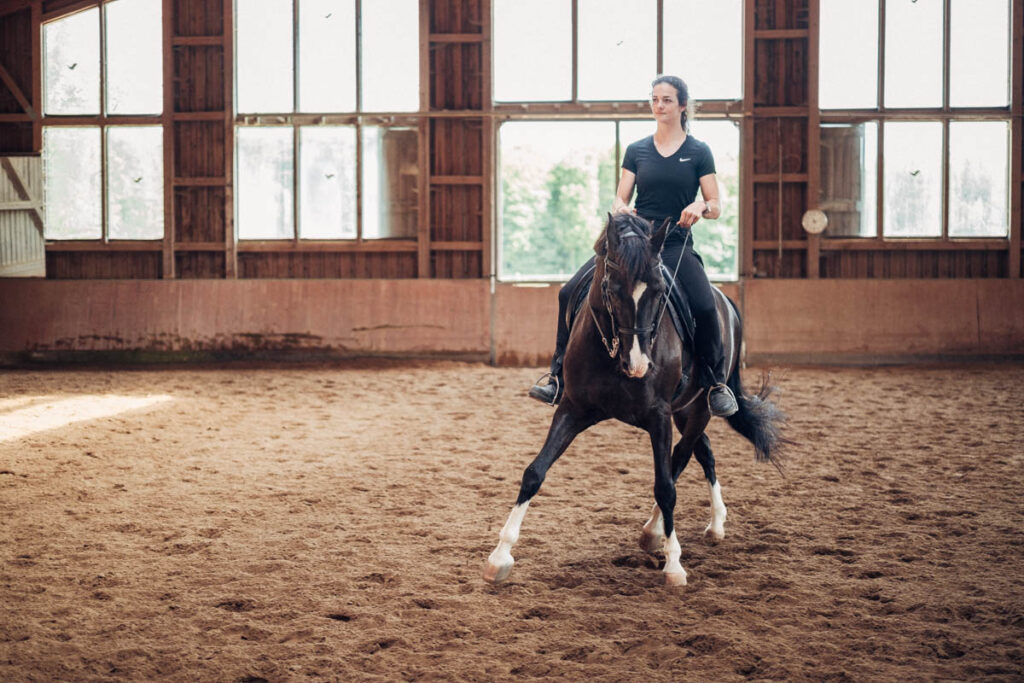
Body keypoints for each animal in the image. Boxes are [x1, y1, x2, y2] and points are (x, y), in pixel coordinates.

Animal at [483, 214, 786, 589]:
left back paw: (664, 530)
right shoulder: (573, 409)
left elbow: (666, 486)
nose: (639, 364)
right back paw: (709, 524)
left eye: (658, 292)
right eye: (612, 290)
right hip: (684, 411)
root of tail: (725, 301)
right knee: (704, 452)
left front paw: (674, 565)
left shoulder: (658, 416)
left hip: (700, 408)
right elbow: (534, 473)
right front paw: (500, 556)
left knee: (681, 458)